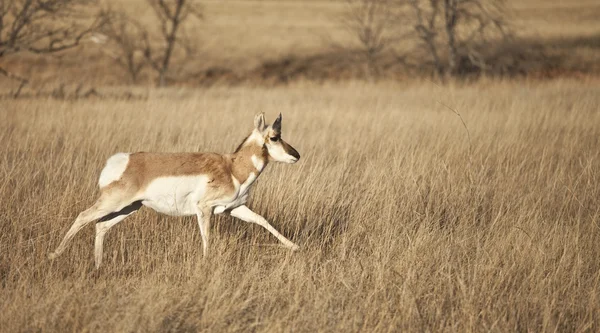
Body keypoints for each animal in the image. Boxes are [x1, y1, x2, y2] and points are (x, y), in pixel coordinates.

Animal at [48, 112, 300, 268]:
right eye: (274, 137)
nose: (296, 155)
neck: (232, 168)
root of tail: (122, 160)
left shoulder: (234, 208)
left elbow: (261, 220)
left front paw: (294, 246)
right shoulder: (203, 209)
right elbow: (206, 236)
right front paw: (206, 261)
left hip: (129, 208)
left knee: (101, 226)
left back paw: (98, 264)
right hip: (113, 203)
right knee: (83, 216)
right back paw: (54, 254)